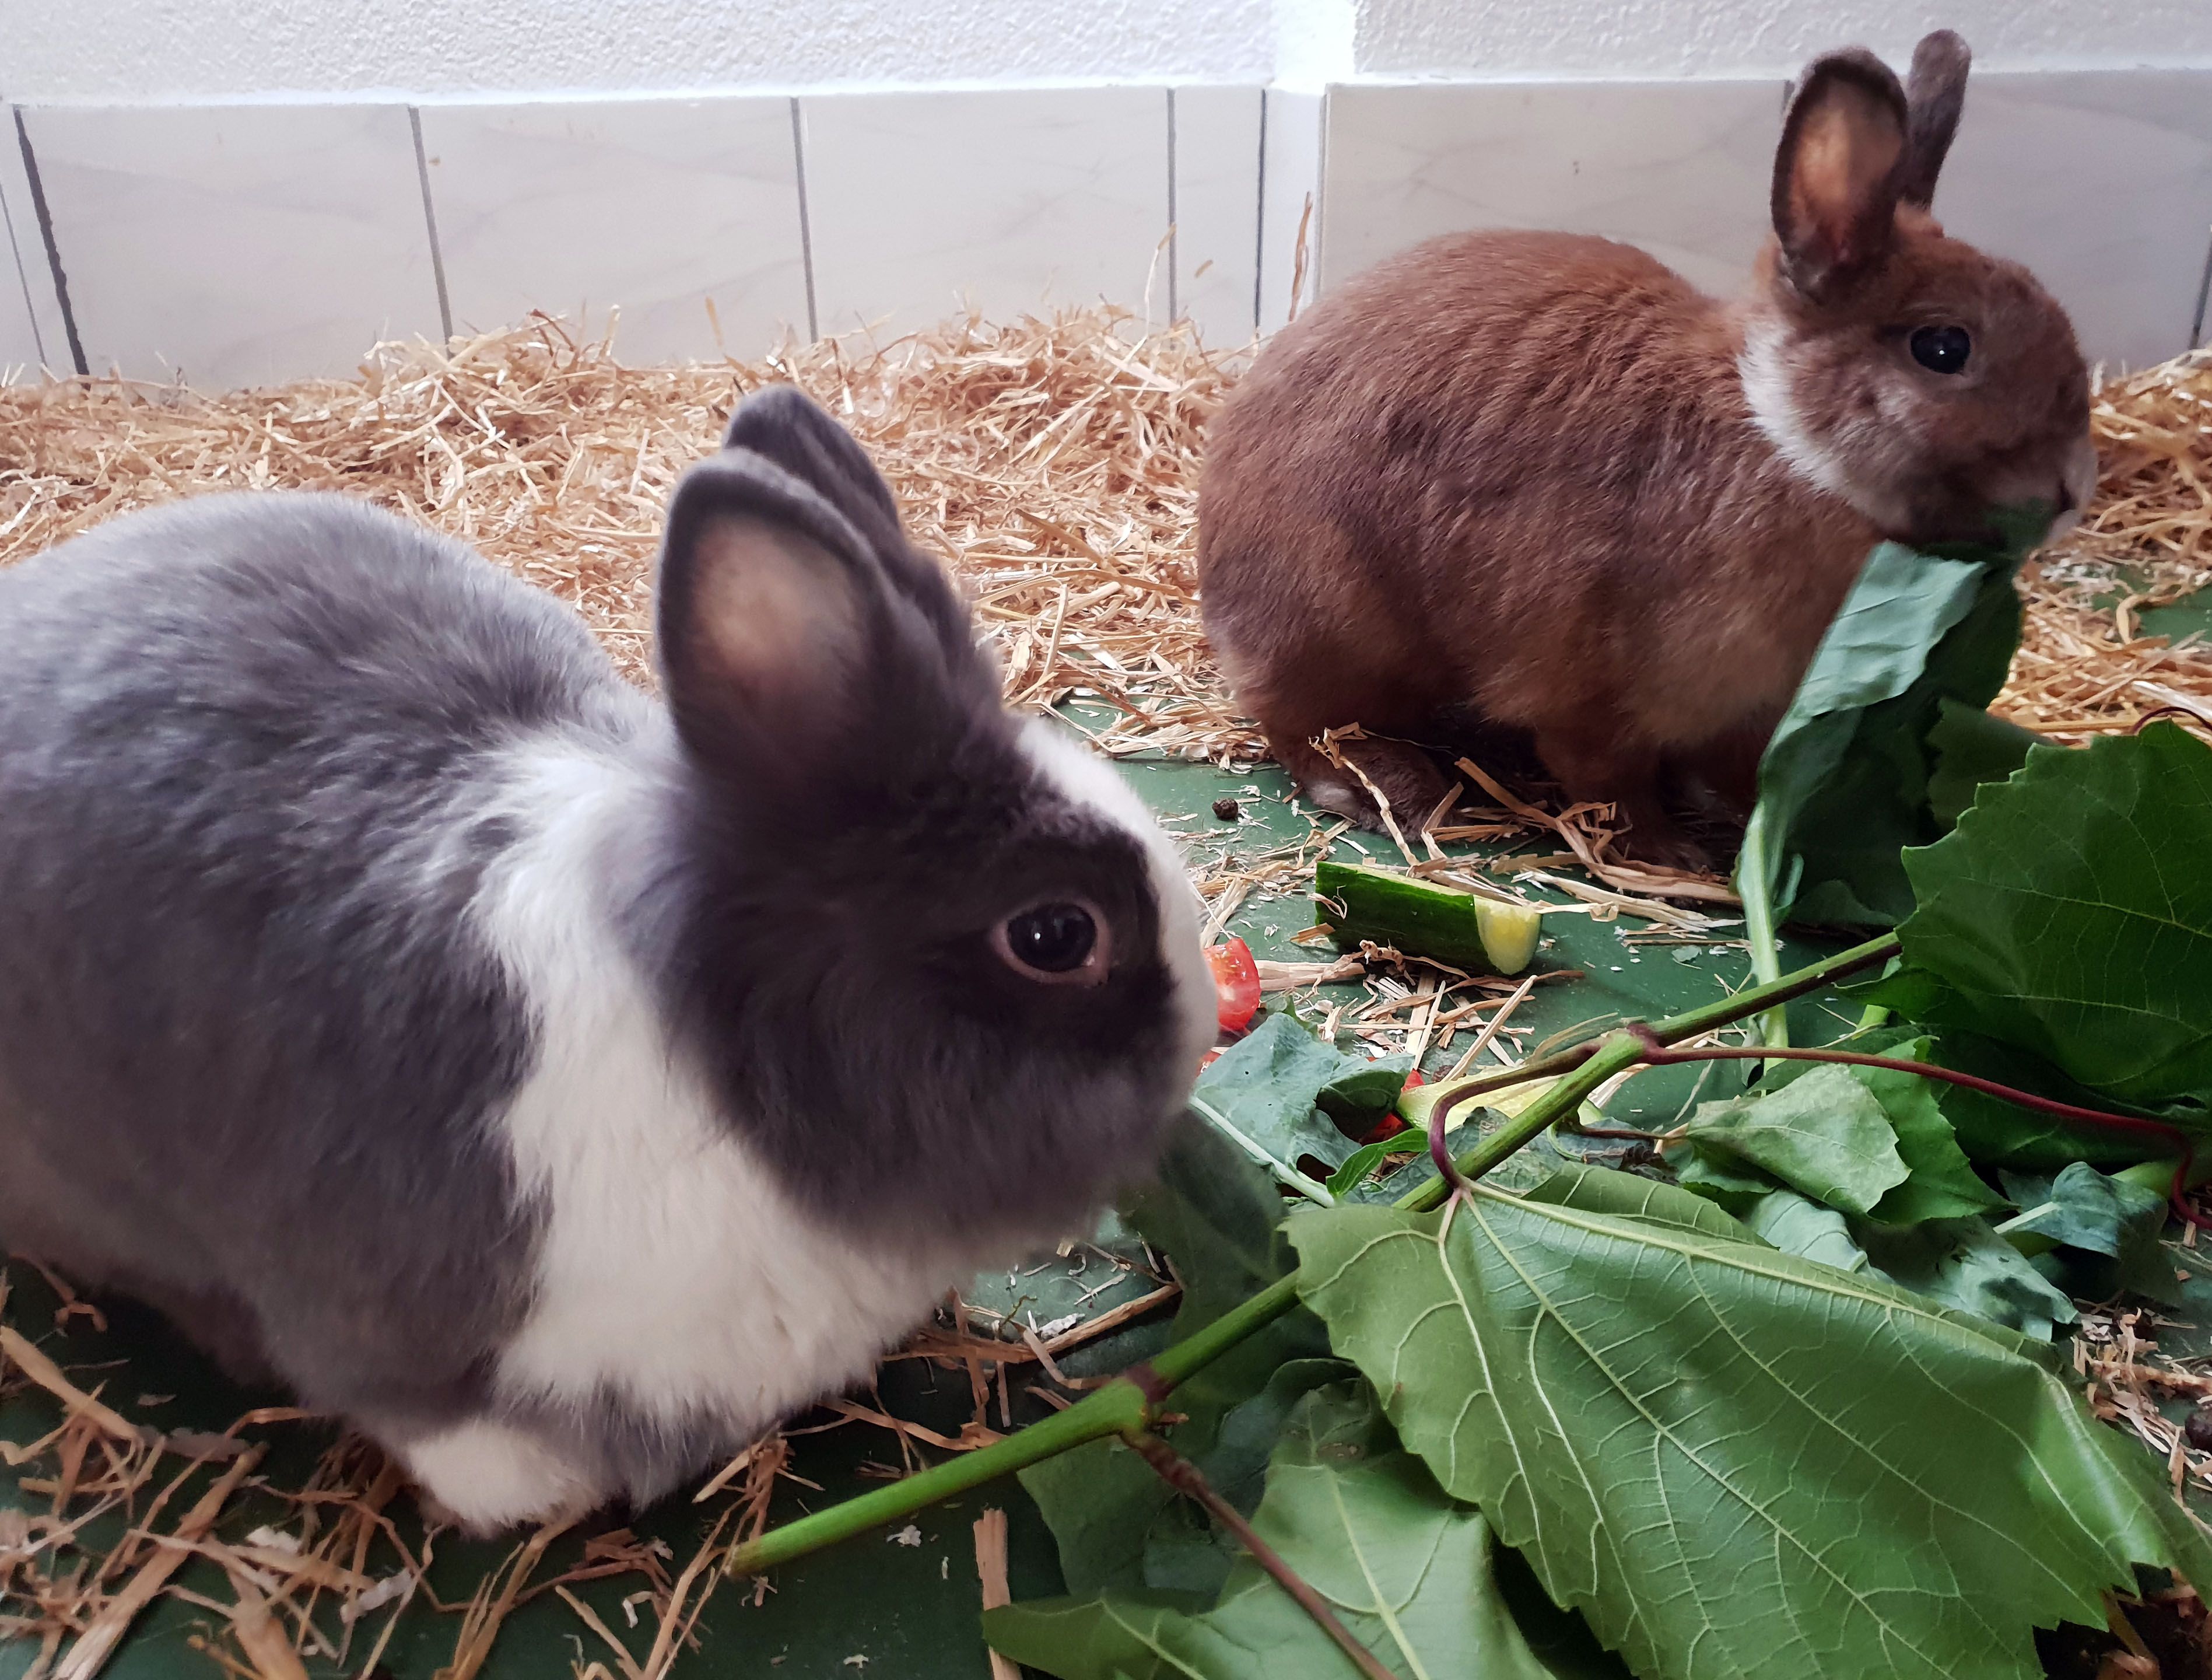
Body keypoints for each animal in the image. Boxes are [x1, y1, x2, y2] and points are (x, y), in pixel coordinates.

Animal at [0, 385, 1214, 1533]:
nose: (1199, 1034)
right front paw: (537, 1489)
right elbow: (417, 1411)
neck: (730, 1090)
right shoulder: (374, 1301)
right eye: (1055, 936)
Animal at [1196, 31, 2095, 868]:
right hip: (1337, 630)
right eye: (1943, 349)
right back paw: (1389, 789)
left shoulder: (1749, 716)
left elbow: (1735, 776)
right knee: (1302, 727)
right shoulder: (1595, 692)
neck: (1783, 445)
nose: (2070, 492)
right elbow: (1608, 778)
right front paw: (1667, 855)